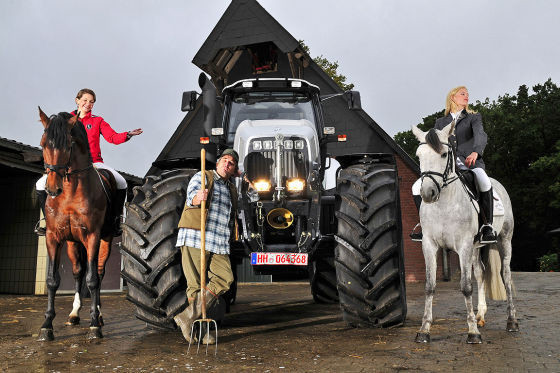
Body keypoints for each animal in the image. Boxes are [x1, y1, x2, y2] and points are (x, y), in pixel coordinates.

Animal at [37, 107, 116, 340]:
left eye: (68, 145)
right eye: (43, 144)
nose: (52, 189)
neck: (69, 194)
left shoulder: (92, 236)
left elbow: (93, 279)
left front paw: (95, 325)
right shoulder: (53, 237)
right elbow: (53, 280)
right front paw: (47, 325)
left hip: (105, 239)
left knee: (98, 272)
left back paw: (98, 315)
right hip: (72, 243)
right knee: (78, 271)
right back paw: (74, 314)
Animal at [410, 122, 520, 342]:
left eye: (444, 154)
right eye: (419, 155)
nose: (427, 193)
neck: (443, 204)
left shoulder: (464, 245)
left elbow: (466, 287)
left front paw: (472, 333)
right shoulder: (429, 245)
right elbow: (429, 285)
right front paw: (424, 330)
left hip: (504, 240)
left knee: (506, 275)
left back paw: (511, 321)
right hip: (476, 247)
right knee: (480, 273)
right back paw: (480, 316)